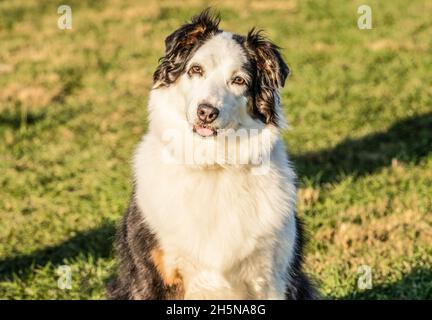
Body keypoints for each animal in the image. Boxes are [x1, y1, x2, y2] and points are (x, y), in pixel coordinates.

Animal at [108, 9, 318, 300]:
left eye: (239, 80)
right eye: (196, 70)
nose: (206, 112)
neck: (213, 163)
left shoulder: (273, 278)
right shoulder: (152, 276)